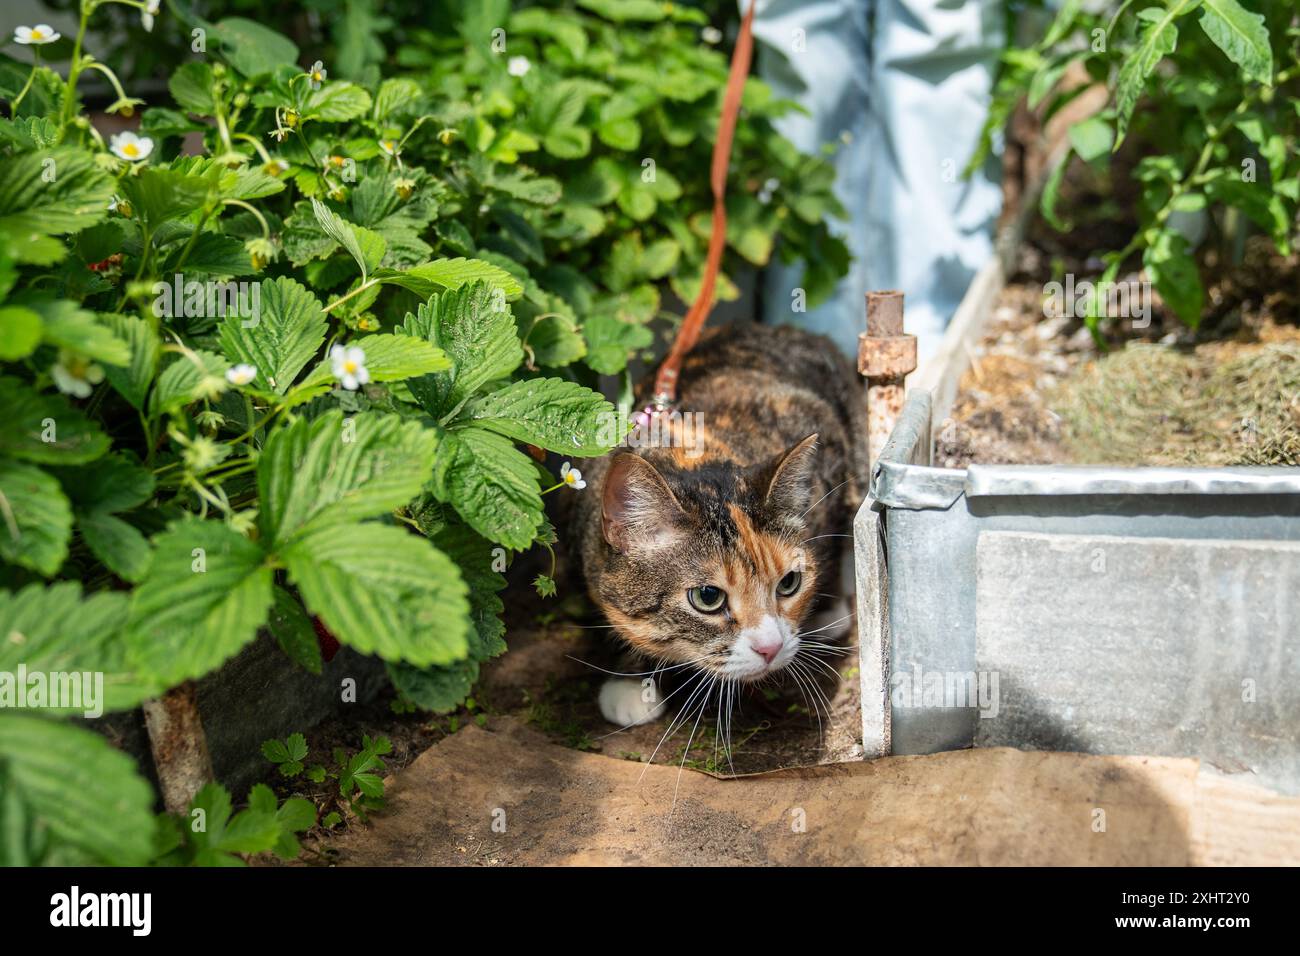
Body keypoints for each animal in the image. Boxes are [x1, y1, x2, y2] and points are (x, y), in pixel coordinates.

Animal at [577, 325, 863, 728]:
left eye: (790, 583)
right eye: (708, 597)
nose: (771, 647)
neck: (688, 451)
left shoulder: (823, 436)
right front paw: (631, 680)